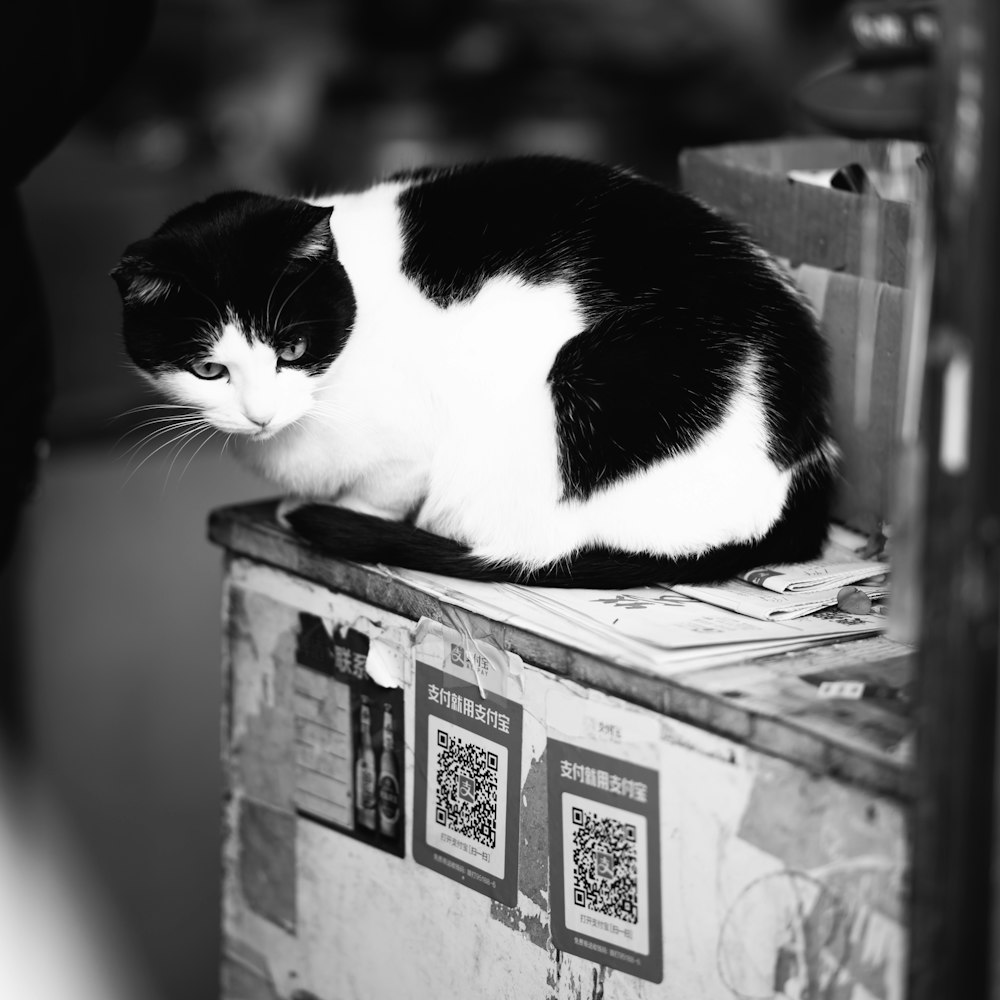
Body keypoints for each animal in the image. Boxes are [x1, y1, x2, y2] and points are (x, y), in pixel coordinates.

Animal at [113, 152, 840, 584]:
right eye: (210, 371)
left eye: (291, 350)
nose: (260, 415)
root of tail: (807, 469)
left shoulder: (408, 450)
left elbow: (376, 492)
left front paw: (327, 508)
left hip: (588, 384)